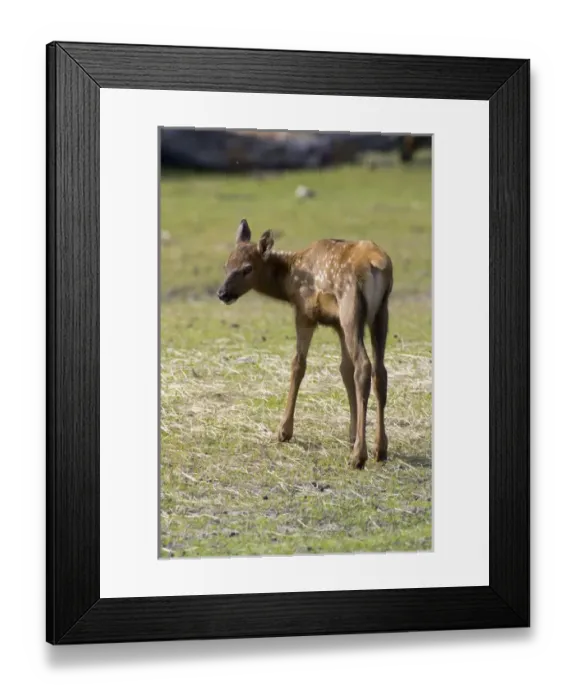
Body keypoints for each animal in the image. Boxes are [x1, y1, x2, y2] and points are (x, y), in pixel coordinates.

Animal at [217, 219, 393, 470]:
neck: (289, 280)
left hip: (351, 309)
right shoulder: (337, 324)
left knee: (364, 366)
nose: (222, 293)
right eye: (226, 265)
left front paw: (284, 431)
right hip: (380, 313)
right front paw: (351, 434)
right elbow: (344, 369)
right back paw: (380, 449)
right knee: (380, 370)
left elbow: (298, 364)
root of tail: (376, 264)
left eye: (247, 268)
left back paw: (358, 456)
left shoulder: (305, 313)